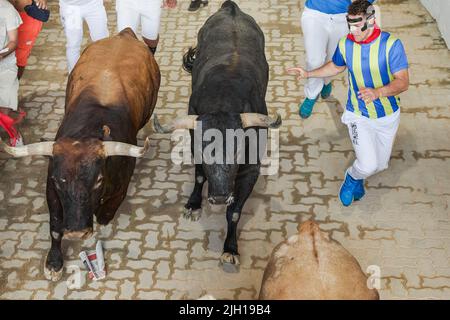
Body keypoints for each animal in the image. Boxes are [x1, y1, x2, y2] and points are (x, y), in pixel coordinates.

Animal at [1, 28, 160, 282]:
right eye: (59, 181)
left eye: (98, 180)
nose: (76, 232)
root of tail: (125, 34)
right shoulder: (52, 190)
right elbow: (55, 227)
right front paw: (54, 263)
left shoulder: (119, 190)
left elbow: (106, 214)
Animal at [155, 1, 282, 272]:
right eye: (205, 153)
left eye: (238, 150)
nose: (221, 196)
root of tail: (231, 8)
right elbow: (200, 175)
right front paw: (194, 204)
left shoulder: (250, 169)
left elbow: (234, 211)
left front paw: (230, 249)